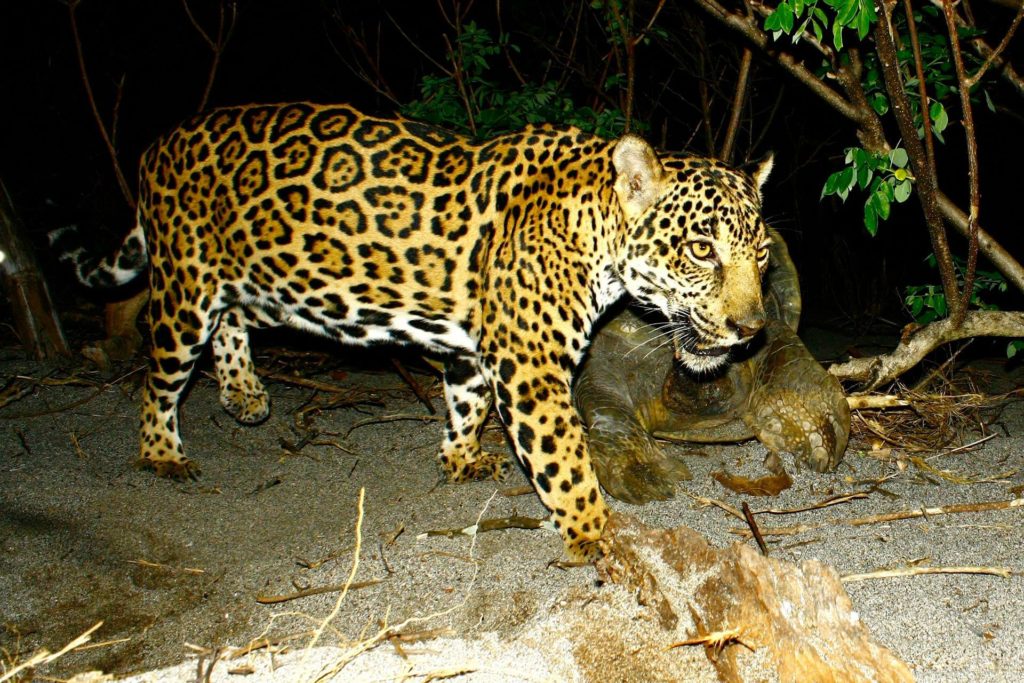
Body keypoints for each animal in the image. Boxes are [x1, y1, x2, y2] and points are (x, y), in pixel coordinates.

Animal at [55, 102, 774, 559]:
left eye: (762, 255)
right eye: (702, 250)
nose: (750, 328)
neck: (595, 233)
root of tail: (158, 144)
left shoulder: (478, 349)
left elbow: (465, 401)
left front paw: (459, 459)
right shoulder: (533, 369)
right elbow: (564, 458)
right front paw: (596, 530)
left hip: (263, 275)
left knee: (232, 322)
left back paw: (244, 393)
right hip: (185, 287)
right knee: (160, 373)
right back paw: (162, 452)